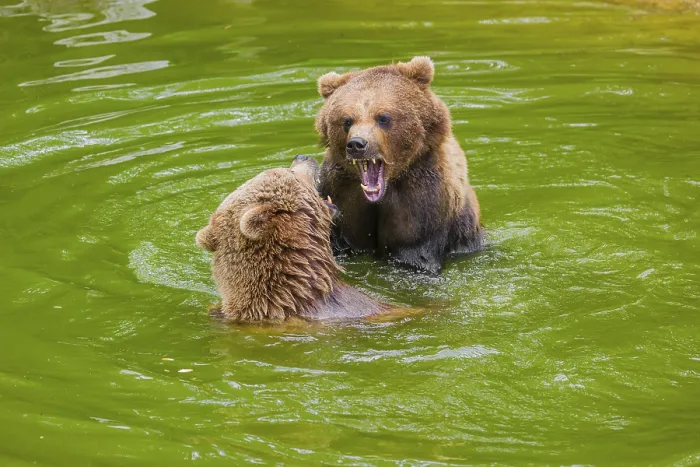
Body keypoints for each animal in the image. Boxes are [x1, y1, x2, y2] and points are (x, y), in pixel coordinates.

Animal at [315, 56, 484, 274]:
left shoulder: (423, 197)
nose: (357, 144)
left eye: (383, 117)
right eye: (347, 120)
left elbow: (414, 251)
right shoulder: (340, 190)